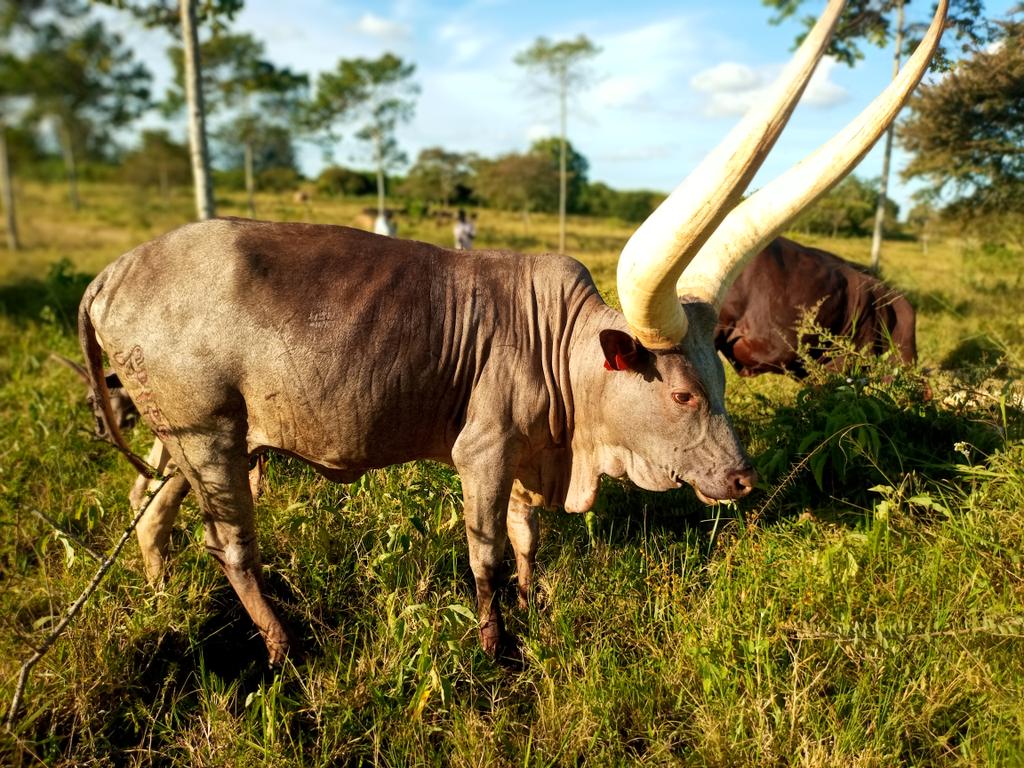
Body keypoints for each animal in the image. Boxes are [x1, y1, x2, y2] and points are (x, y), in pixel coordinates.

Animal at [77, 0, 942, 663]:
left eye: (721, 382)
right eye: (682, 394)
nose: (740, 480)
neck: (561, 360)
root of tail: (111, 273)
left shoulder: (532, 452)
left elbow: (528, 543)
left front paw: (538, 607)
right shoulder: (483, 453)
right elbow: (486, 552)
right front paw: (498, 647)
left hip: (181, 439)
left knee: (149, 508)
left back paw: (162, 597)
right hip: (210, 438)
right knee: (232, 545)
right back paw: (283, 646)